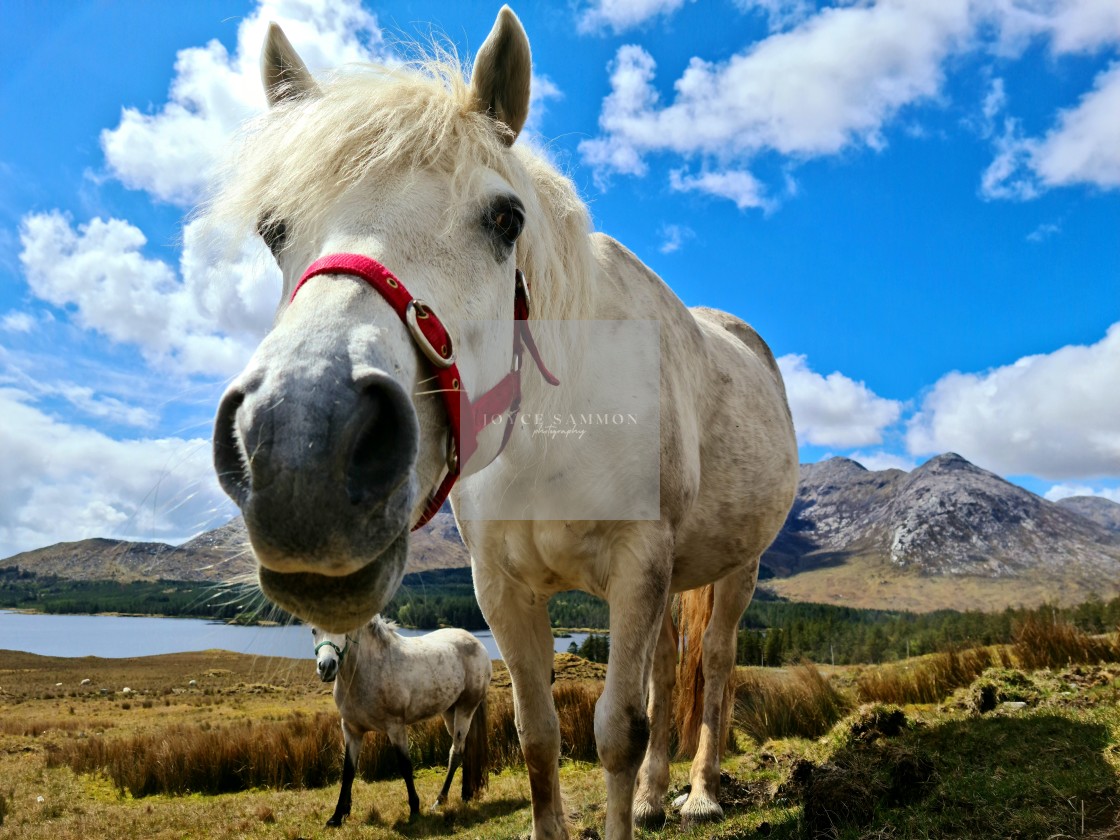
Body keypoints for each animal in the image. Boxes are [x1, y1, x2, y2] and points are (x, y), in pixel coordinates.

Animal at [313, 622, 492, 824]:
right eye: (313, 630)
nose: (326, 667)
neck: (368, 669)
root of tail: (476, 642)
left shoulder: (396, 727)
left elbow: (405, 766)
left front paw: (414, 809)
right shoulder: (352, 730)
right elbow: (349, 771)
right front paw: (337, 816)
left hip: (465, 708)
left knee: (456, 753)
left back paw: (440, 800)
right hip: (449, 710)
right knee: (464, 749)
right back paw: (465, 794)